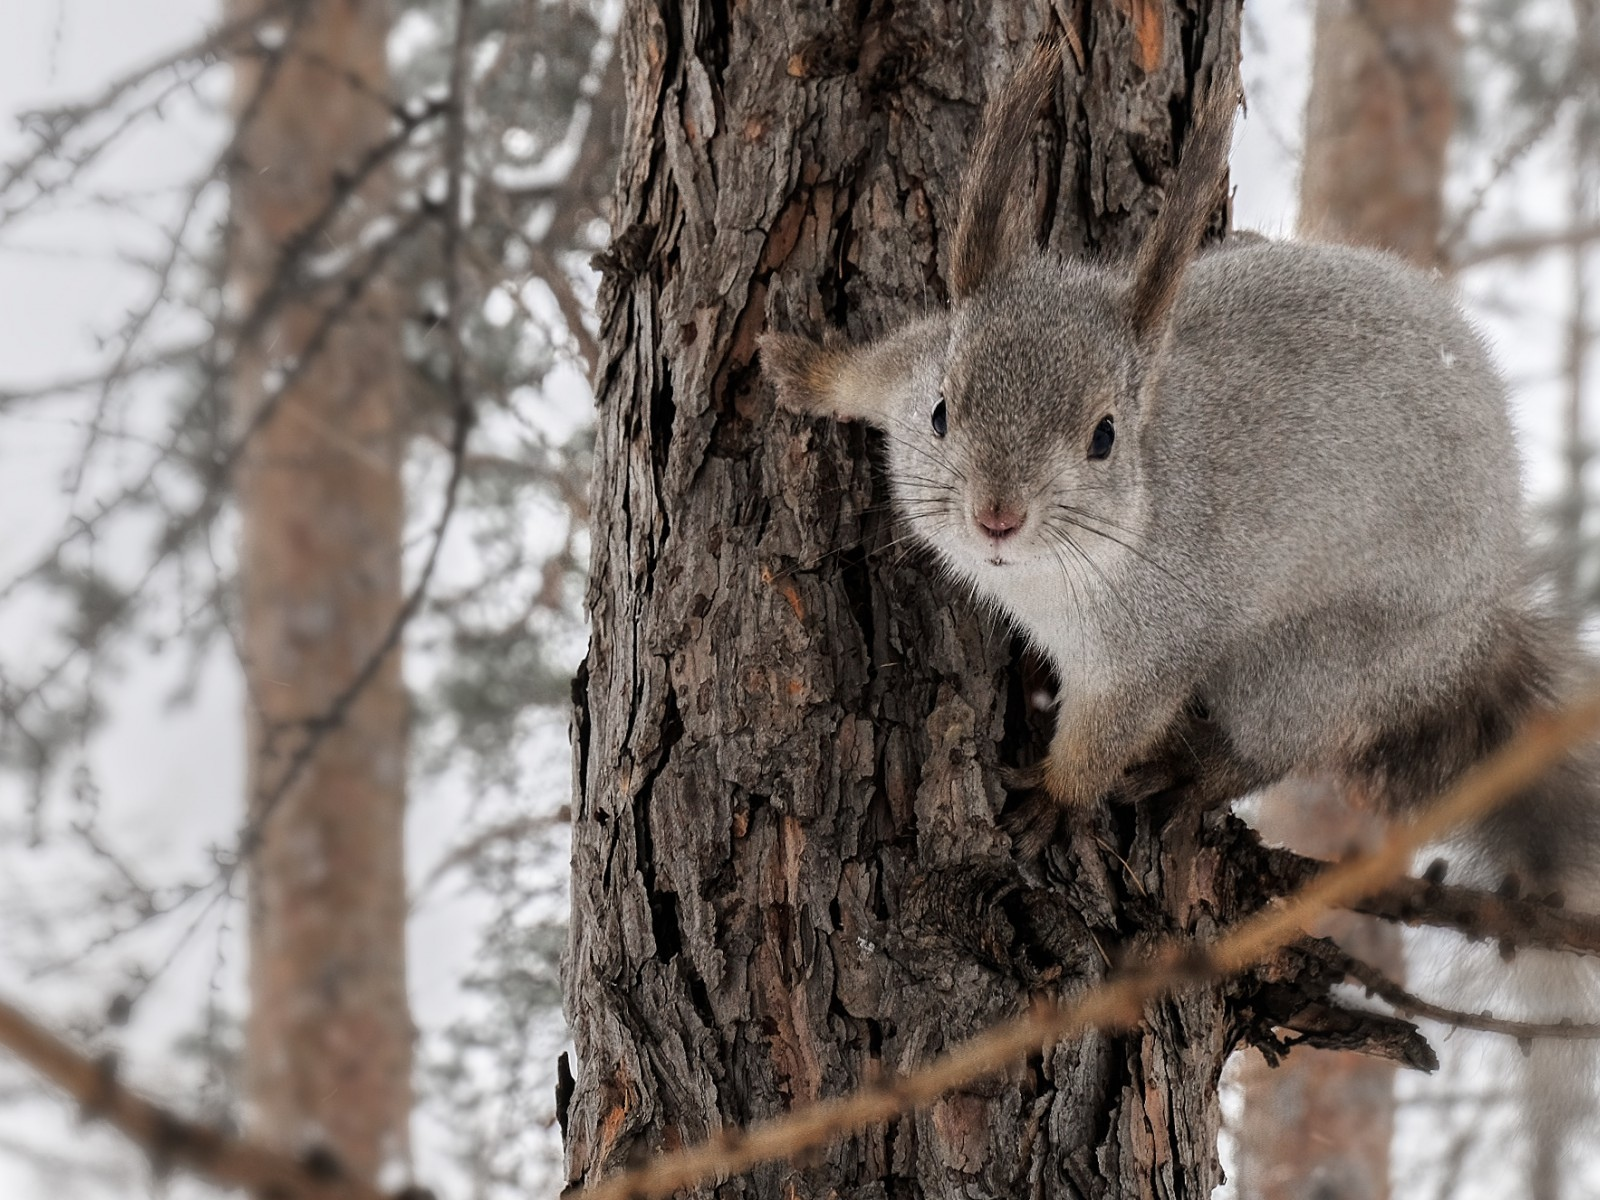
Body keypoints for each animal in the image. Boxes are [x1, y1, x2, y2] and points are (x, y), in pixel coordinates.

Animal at [758, 44, 1600, 908]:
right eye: (940, 412)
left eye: (1104, 437)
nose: (997, 516)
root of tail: (1478, 629)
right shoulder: (911, 365)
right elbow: (874, 370)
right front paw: (808, 369)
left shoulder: (1152, 646)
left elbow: (1108, 735)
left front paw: (1057, 800)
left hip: (1312, 667)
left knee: (1274, 744)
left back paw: (1189, 772)